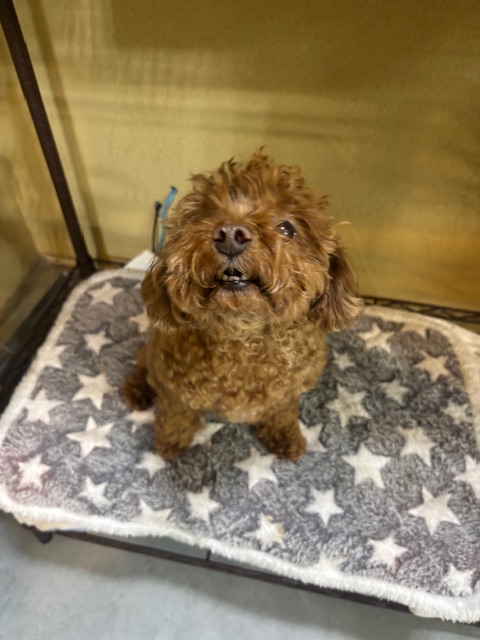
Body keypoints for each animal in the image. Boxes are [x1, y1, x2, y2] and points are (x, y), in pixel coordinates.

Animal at [122, 151, 363, 461]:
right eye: (203, 217)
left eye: (287, 228)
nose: (229, 234)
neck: (243, 339)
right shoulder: (174, 389)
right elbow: (176, 416)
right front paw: (170, 443)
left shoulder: (286, 394)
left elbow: (281, 412)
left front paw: (285, 436)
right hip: (154, 355)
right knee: (142, 362)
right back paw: (136, 390)